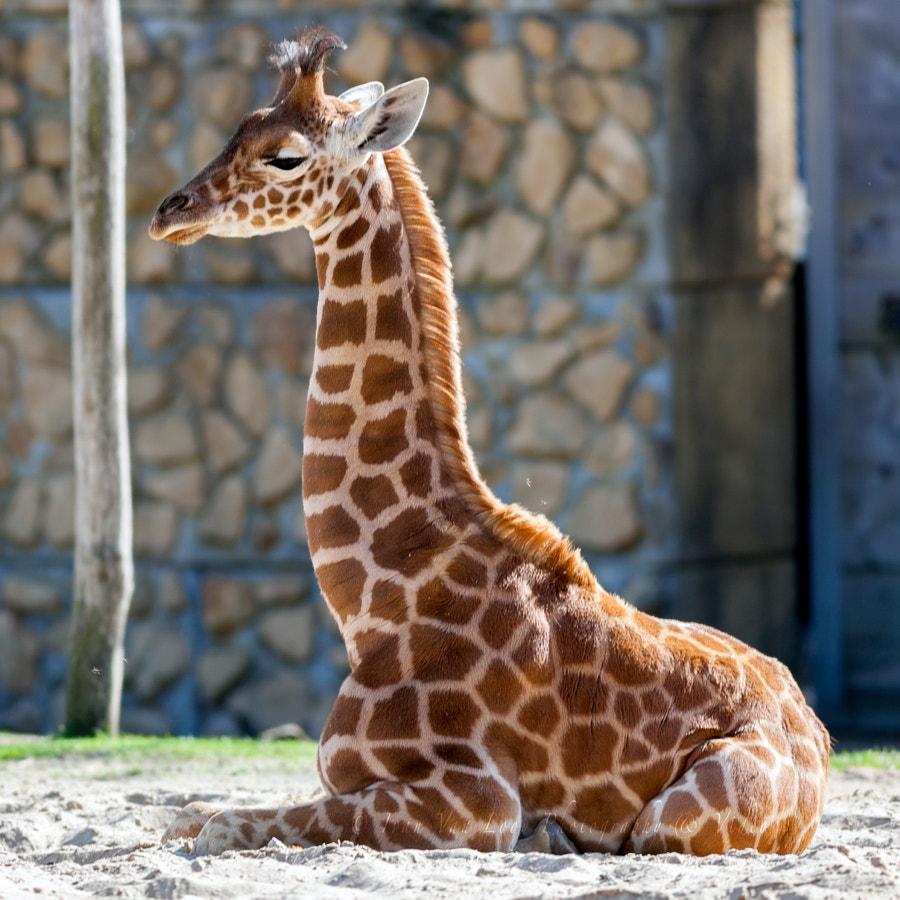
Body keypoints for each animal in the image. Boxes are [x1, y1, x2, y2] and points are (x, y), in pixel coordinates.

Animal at [149, 28, 830, 857]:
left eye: (285, 156)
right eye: (239, 125)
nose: (169, 211)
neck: (379, 596)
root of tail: (821, 737)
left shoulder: (476, 799)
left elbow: (225, 825)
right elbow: (190, 812)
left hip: (678, 816)